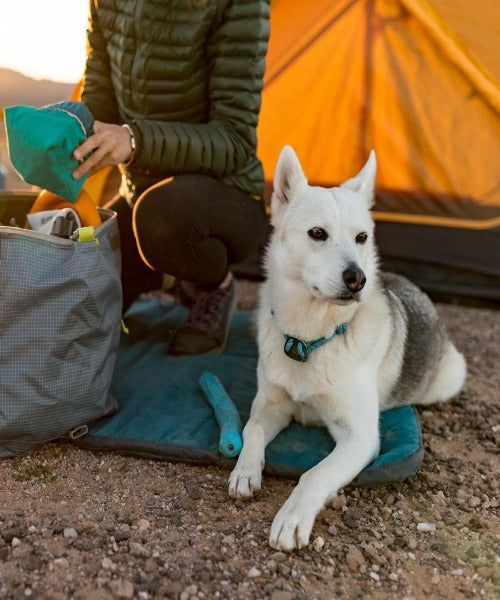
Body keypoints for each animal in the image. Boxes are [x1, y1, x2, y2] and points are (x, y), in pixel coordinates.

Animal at [229, 148, 466, 552]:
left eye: (361, 237)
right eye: (317, 234)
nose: (359, 279)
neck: (309, 340)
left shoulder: (359, 436)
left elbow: (314, 473)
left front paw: (293, 516)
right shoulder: (271, 404)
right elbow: (252, 429)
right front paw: (245, 470)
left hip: (451, 375)